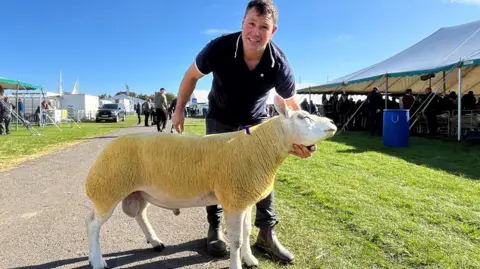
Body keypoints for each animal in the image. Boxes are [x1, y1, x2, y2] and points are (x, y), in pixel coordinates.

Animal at [83, 94, 338, 268]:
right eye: (304, 117)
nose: (333, 125)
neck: (260, 146)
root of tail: (104, 152)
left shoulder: (243, 198)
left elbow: (246, 232)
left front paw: (250, 259)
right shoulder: (234, 198)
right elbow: (236, 240)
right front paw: (236, 264)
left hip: (137, 191)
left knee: (140, 214)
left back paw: (155, 241)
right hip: (107, 189)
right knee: (93, 224)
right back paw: (97, 261)